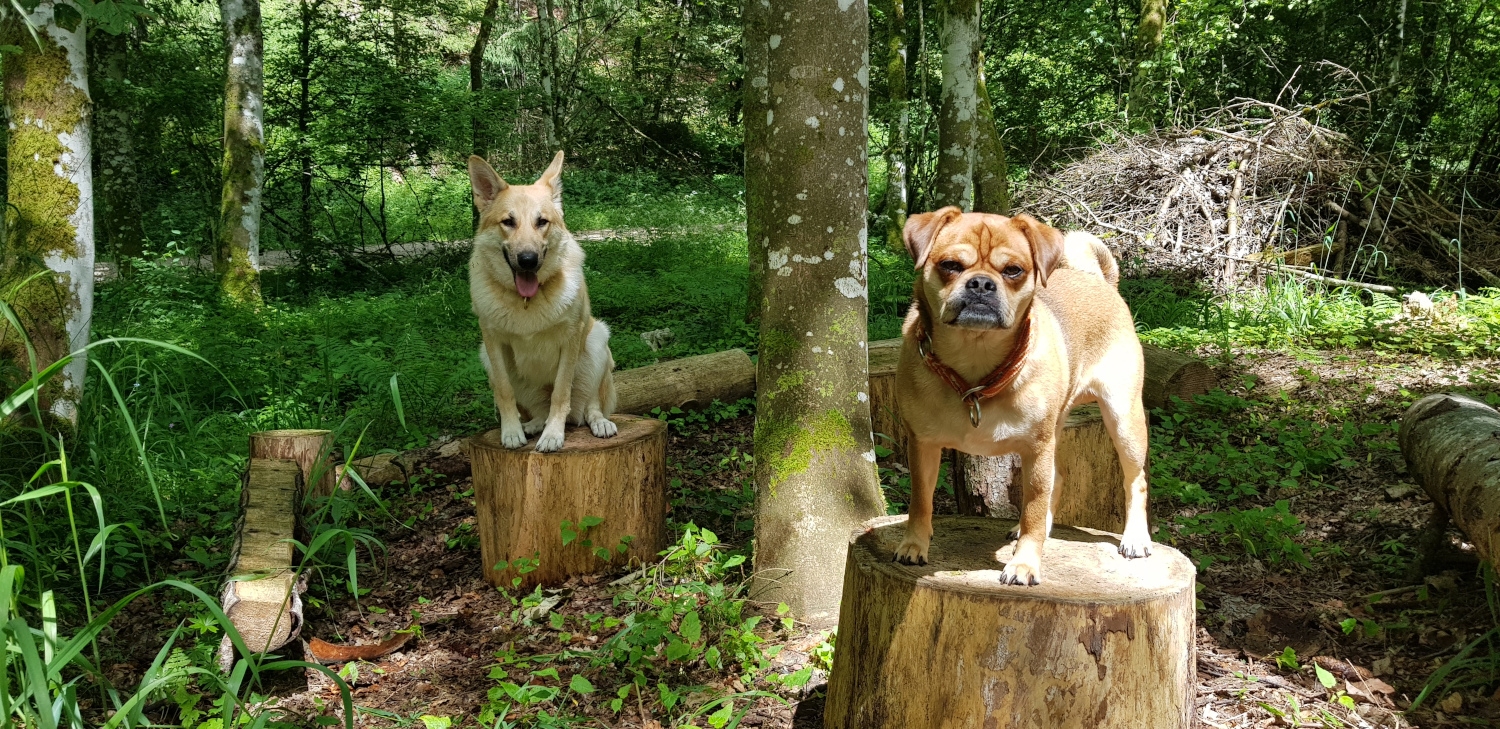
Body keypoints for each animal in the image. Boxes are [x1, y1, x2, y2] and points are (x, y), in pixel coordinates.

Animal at [462, 152, 615, 450]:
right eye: (508, 222)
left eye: (541, 221)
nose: (528, 260)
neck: (526, 301)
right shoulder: (492, 343)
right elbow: (504, 392)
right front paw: (511, 432)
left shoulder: (571, 339)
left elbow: (560, 394)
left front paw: (553, 435)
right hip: (486, 356)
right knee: (539, 410)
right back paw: (533, 425)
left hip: (597, 341)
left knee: (588, 405)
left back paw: (598, 422)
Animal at [888, 208, 1146, 585]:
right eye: (950, 265)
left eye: (1013, 271)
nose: (982, 283)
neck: (974, 366)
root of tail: (1100, 281)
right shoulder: (922, 445)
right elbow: (920, 500)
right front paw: (914, 544)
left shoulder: (1036, 450)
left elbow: (1034, 509)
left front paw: (1025, 563)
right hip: (1057, 429)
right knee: (1058, 479)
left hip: (1123, 420)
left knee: (1135, 480)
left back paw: (1136, 538)